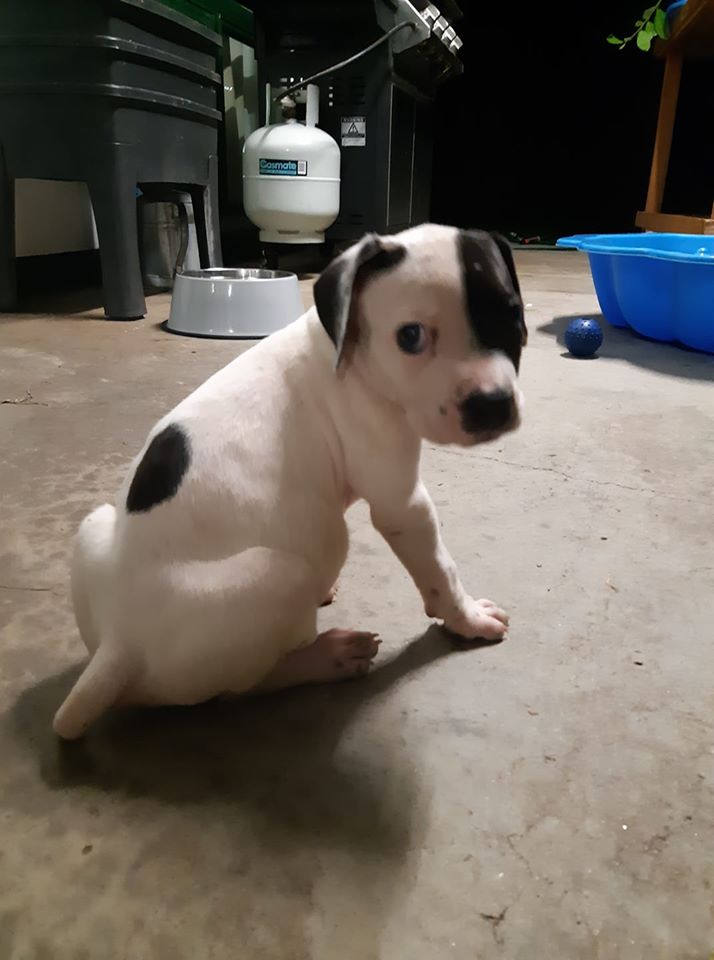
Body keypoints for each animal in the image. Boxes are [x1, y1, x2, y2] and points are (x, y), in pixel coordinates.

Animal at [53, 223, 527, 739]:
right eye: (411, 336)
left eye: (513, 315)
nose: (491, 405)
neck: (347, 347)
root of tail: (118, 645)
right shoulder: (403, 504)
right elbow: (441, 570)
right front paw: (467, 619)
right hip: (283, 575)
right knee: (244, 686)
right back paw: (327, 656)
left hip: (95, 523)